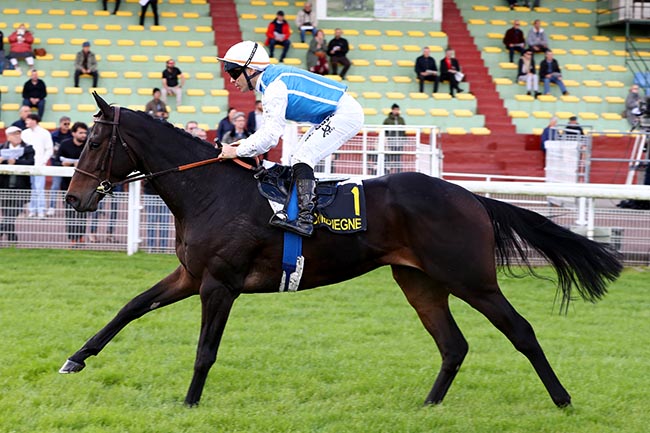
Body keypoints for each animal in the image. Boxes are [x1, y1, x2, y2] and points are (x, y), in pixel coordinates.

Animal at [59, 93, 616, 406]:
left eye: (94, 143)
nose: (73, 199)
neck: (211, 191)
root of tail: (471, 196)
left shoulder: (219, 285)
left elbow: (205, 351)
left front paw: (190, 404)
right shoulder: (192, 276)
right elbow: (130, 307)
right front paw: (75, 359)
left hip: (471, 279)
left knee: (521, 331)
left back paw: (563, 400)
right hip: (420, 281)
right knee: (453, 345)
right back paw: (428, 407)